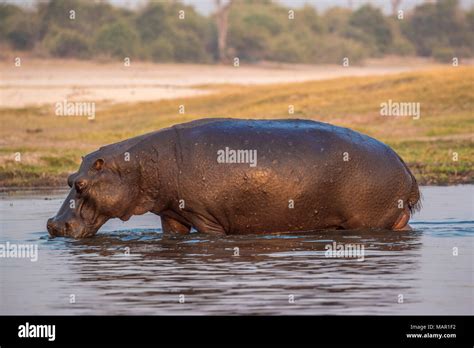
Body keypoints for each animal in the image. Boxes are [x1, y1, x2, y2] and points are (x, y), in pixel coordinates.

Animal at [46, 118, 420, 238]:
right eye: (68, 178)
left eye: (81, 184)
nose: (52, 225)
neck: (135, 167)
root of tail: (406, 167)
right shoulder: (172, 214)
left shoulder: (206, 218)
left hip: (368, 220)